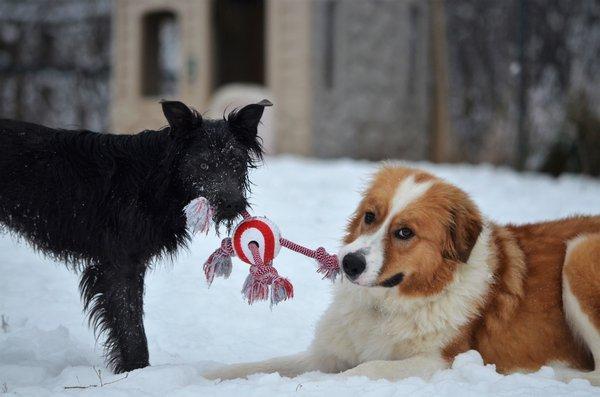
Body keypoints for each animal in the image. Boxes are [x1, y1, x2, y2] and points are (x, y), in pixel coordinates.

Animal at [0, 99, 272, 372]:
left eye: (236, 163)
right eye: (204, 165)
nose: (232, 204)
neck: (155, 180)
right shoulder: (120, 266)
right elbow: (131, 326)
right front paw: (136, 372)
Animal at [204, 165, 600, 384]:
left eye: (405, 233)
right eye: (370, 216)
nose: (349, 263)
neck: (386, 304)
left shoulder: (438, 361)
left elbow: (364, 370)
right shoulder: (328, 353)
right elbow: (264, 364)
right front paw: (204, 374)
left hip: (581, 252)